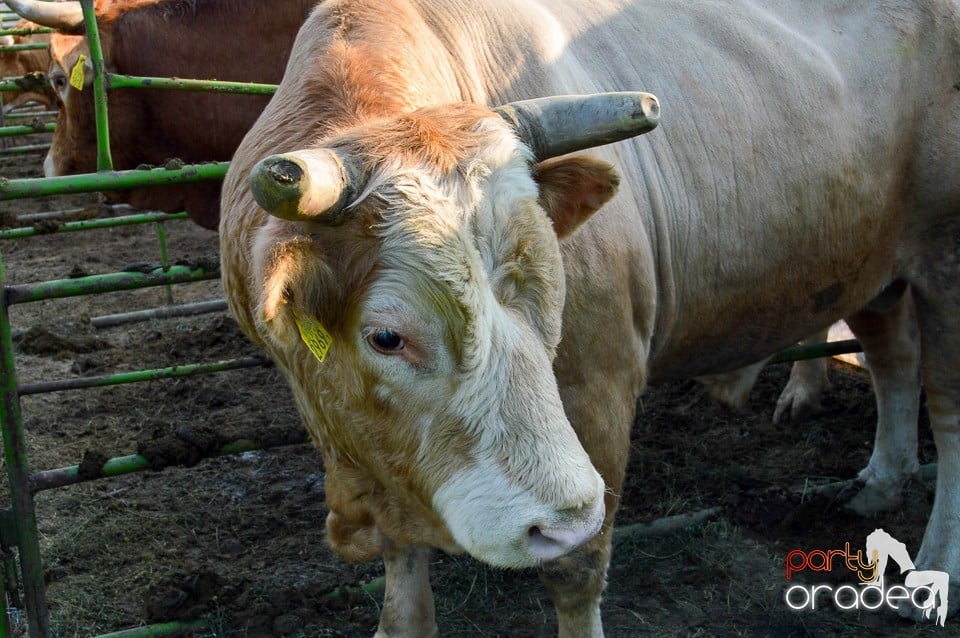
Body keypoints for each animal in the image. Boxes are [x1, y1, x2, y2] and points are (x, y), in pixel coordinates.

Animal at [219, 2, 960, 636]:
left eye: (556, 301)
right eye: (386, 337)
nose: (553, 522)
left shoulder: (598, 391)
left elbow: (578, 568)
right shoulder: (372, 452)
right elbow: (403, 582)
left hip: (946, 265)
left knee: (947, 413)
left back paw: (929, 572)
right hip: (873, 264)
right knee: (893, 357)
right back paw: (881, 482)